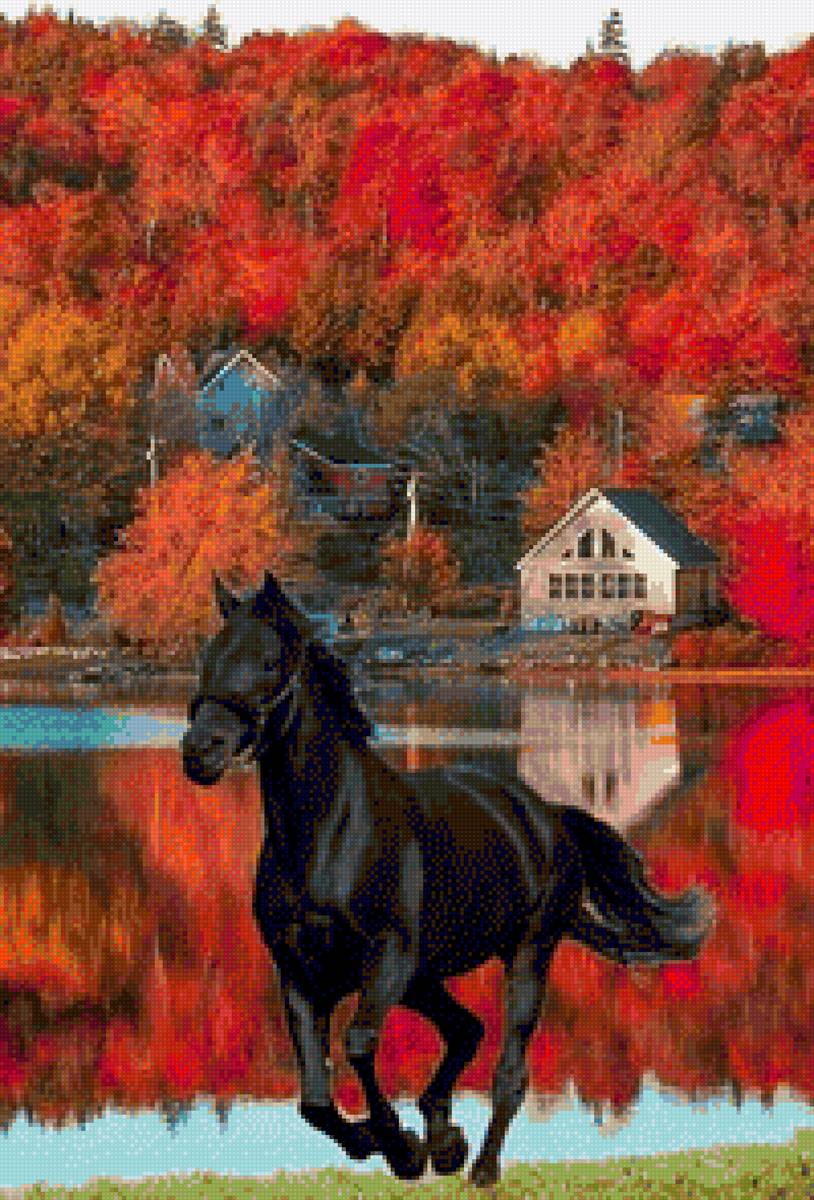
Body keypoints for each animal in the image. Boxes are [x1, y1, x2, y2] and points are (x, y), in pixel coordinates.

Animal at [181, 572, 714, 1187]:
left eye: (269, 662)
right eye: (207, 656)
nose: (199, 750)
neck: (327, 838)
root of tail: (547, 814)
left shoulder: (387, 959)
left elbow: (359, 1045)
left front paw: (401, 1147)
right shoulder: (299, 974)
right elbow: (313, 1099)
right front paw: (390, 1143)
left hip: (526, 956)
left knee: (508, 1068)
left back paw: (478, 1165)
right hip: (424, 979)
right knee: (467, 1030)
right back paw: (445, 1137)